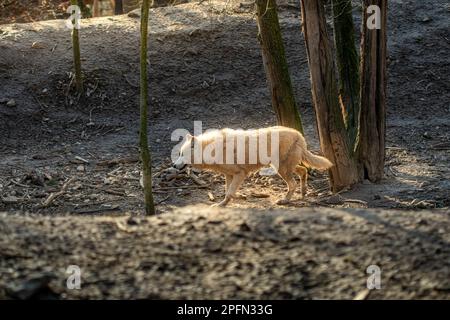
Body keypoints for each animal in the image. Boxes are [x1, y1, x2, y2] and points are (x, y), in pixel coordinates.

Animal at [174, 126, 332, 206]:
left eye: (182, 154)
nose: (174, 165)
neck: (212, 149)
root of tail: (299, 135)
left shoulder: (240, 174)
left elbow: (230, 192)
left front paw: (229, 201)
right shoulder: (229, 175)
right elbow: (227, 191)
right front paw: (227, 201)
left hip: (280, 169)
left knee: (292, 184)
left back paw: (285, 200)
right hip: (285, 167)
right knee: (303, 171)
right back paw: (304, 192)